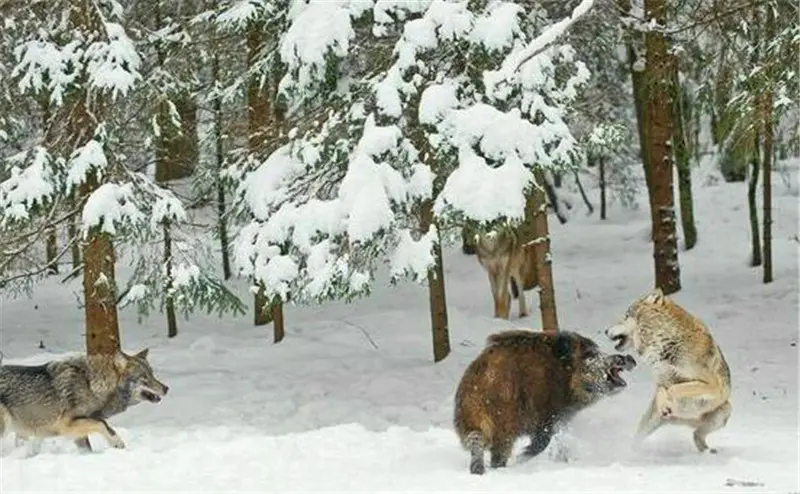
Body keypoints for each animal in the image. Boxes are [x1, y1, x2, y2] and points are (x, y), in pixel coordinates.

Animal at [0, 348, 169, 452]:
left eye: (152, 374)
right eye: (144, 377)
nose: (166, 388)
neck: (90, 384)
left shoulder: (78, 429)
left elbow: (95, 437)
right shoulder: (66, 425)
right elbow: (102, 424)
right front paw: (117, 443)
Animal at [454, 330, 636, 472]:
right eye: (589, 354)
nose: (628, 358)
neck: (563, 376)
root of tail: (484, 380)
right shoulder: (548, 416)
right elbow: (542, 442)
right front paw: (522, 457)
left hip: (470, 418)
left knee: (475, 440)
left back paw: (478, 470)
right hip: (503, 423)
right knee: (498, 451)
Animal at [608, 288, 732, 454]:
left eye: (626, 315)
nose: (605, 330)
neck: (665, 345)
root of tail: (685, 420)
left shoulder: (712, 386)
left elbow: (675, 388)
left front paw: (668, 403)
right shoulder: (661, 380)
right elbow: (663, 390)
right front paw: (664, 404)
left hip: (725, 410)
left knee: (696, 434)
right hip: (651, 423)